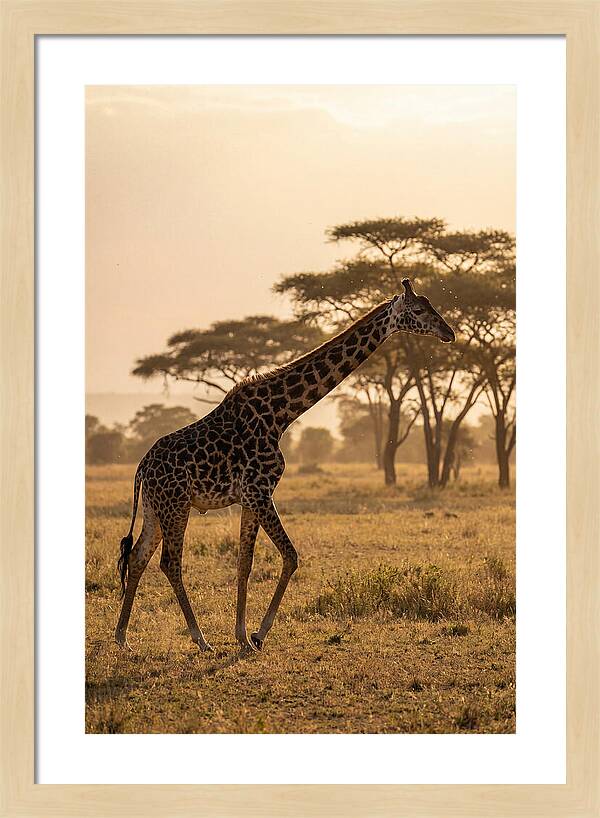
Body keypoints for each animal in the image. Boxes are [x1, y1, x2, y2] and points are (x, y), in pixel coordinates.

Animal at [115, 278, 455, 653]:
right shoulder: (260, 491)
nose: (449, 333)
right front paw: (258, 634)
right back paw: (200, 640)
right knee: (169, 562)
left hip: (155, 508)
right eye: (419, 310)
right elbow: (290, 556)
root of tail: (141, 468)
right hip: (176, 505)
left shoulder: (250, 498)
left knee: (138, 556)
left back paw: (122, 637)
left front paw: (242, 636)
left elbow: (245, 562)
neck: (281, 415)